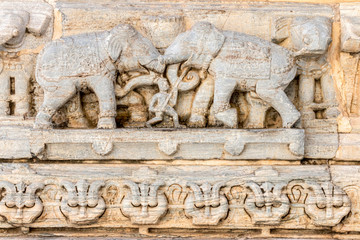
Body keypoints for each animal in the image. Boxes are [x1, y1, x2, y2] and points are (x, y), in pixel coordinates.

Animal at [33, 23, 166, 129]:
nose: (163, 82)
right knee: (65, 93)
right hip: (54, 76)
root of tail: (39, 58)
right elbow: (106, 90)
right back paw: (43, 126)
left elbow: (119, 92)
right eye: (144, 49)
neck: (109, 36)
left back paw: (81, 126)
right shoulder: (100, 69)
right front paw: (106, 127)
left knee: (72, 95)